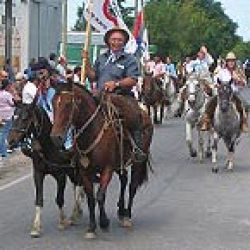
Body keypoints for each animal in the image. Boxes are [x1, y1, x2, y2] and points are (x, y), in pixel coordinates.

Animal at [7, 101, 83, 236]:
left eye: (25, 118)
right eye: (13, 117)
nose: (10, 141)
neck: (49, 147)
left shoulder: (60, 175)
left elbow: (59, 199)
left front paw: (62, 221)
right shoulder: (38, 173)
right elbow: (39, 199)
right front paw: (36, 227)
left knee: (79, 185)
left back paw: (75, 213)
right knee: (76, 186)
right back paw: (78, 210)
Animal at [50, 83, 153, 239]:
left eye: (68, 104)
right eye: (52, 103)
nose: (56, 138)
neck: (92, 131)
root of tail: (145, 114)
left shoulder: (107, 169)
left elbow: (100, 196)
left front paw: (104, 222)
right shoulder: (85, 171)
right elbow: (91, 198)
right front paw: (92, 227)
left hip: (138, 162)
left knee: (132, 186)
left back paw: (127, 216)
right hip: (120, 163)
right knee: (124, 180)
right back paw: (121, 211)